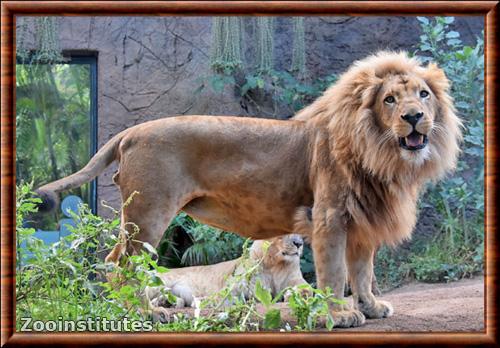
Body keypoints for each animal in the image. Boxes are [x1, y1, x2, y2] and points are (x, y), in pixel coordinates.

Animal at [146, 235, 304, 312]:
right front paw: (203, 301)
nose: (299, 243)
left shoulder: (298, 281)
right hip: (158, 282)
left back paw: (165, 302)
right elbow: (224, 296)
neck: (275, 264)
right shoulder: (233, 287)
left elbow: (306, 290)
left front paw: (294, 295)